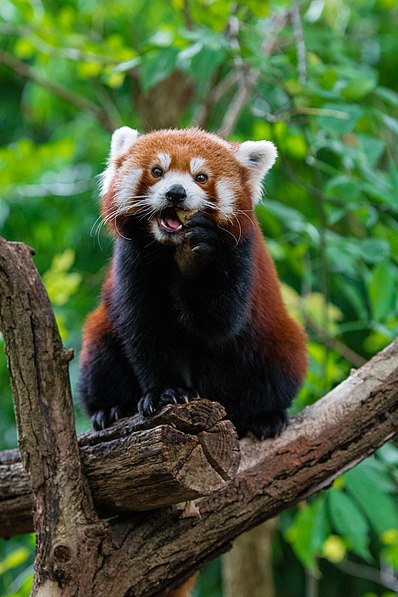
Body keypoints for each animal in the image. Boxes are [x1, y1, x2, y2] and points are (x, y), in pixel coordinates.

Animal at [78, 127, 308, 438]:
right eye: (157, 171)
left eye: (201, 177)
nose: (176, 192)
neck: (171, 248)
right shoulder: (133, 262)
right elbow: (147, 328)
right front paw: (167, 390)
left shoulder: (239, 253)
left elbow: (219, 322)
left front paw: (196, 256)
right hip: (100, 331)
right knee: (100, 357)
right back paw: (111, 408)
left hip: (276, 339)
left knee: (275, 370)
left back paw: (265, 416)